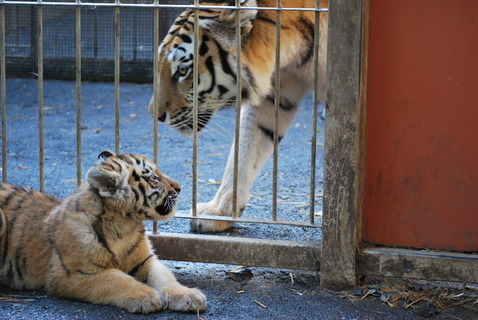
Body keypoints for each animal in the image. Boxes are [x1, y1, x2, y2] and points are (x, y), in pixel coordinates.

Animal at [0, 151, 206, 314]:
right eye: (154, 178)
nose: (179, 187)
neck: (125, 225)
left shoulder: (146, 260)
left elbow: (165, 276)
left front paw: (187, 295)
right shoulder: (73, 274)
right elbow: (116, 279)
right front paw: (145, 296)